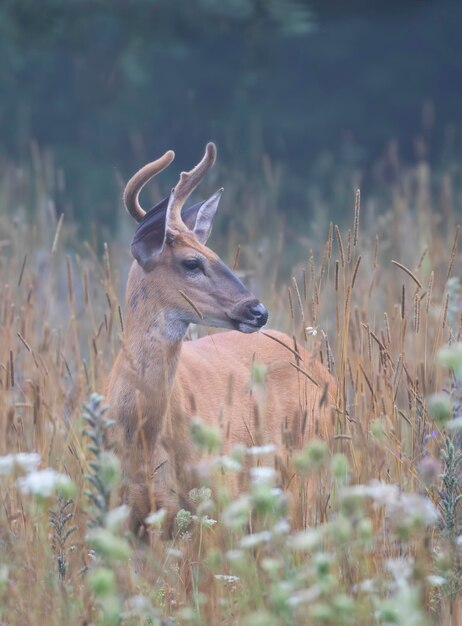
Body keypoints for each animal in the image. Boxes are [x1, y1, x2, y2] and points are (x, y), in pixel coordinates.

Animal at [106, 143, 334, 536]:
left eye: (218, 254)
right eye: (191, 262)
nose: (258, 310)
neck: (140, 436)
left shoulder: (214, 498)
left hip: (307, 470)